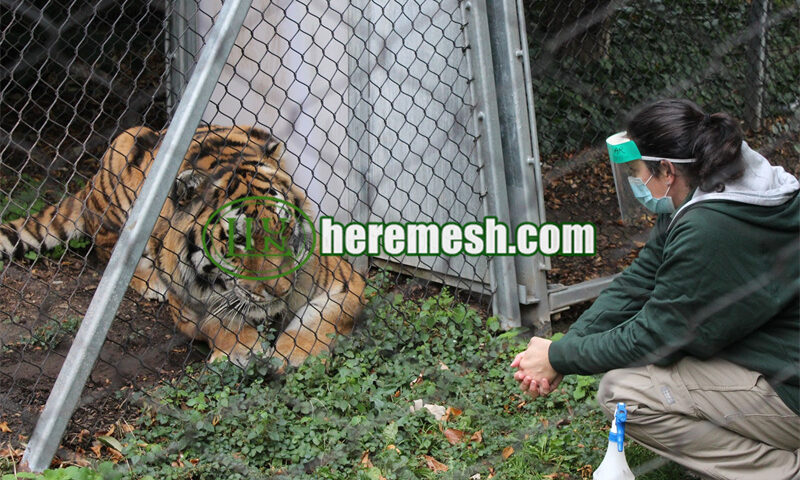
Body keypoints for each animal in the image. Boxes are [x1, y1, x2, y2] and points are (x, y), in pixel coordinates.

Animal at [0, 125, 366, 369]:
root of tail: (88, 184)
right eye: (240, 240)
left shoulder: (345, 282)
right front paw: (243, 349)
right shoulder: (189, 308)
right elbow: (219, 323)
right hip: (123, 157)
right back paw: (151, 283)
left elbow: (323, 319)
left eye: (286, 229)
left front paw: (293, 353)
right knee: (107, 250)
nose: (280, 290)